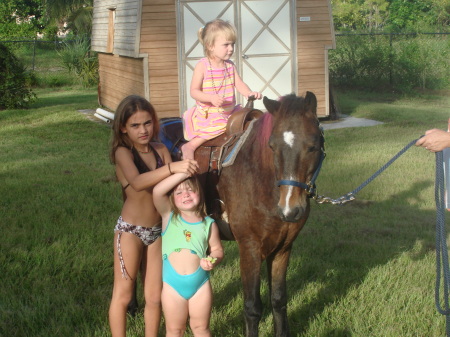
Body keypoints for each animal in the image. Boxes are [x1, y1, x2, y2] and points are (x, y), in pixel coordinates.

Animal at [216, 92, 326, 336]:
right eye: (272, 146)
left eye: (313, 146)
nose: (290, 209)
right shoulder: (249, 249)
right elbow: (252, 307)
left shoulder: (282, 248)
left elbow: (278, 299)